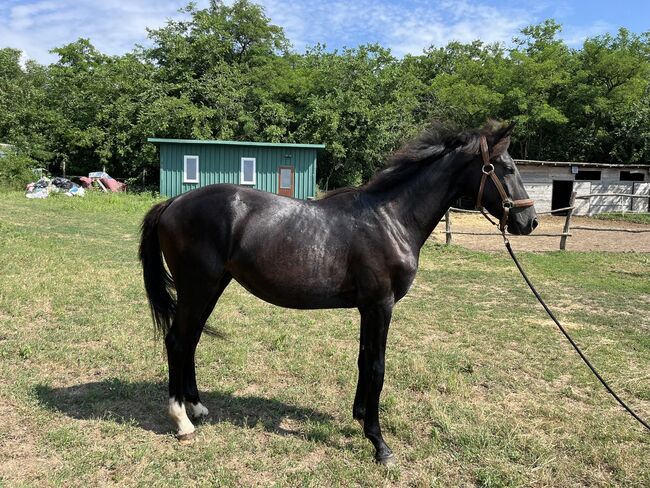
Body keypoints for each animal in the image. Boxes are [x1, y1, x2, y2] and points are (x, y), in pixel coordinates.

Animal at [138, 120, 536, 464]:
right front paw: (379, 444)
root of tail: (172, 203)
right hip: (198, 287)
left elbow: (363, 360)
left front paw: (359, 418)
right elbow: (377, 366)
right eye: (505, 167)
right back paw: (182, 421)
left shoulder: (367, 308)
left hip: (211, 287)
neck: (391, 218)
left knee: (190, 340)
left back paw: (196, 407)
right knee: (177, 340)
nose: (528, 221)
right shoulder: (380, 305)